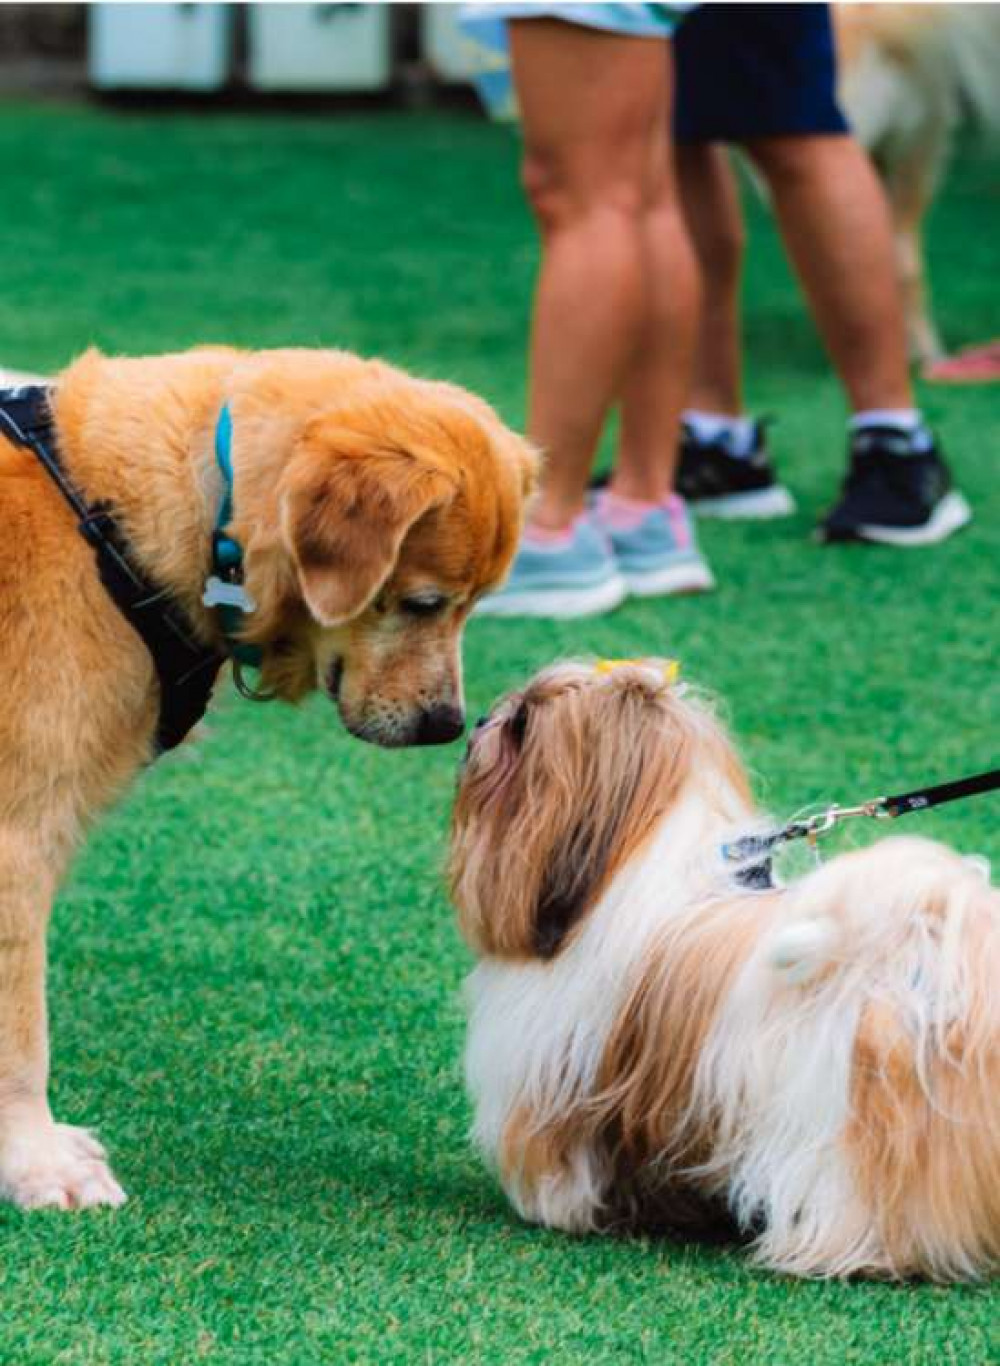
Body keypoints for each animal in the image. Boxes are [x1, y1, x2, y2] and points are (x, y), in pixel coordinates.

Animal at [0, 346, 535, 1213]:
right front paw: (35, 1163)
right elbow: (21, 1035)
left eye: (474, 606)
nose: (448, 725)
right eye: (424, 603)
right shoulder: (15, 839)